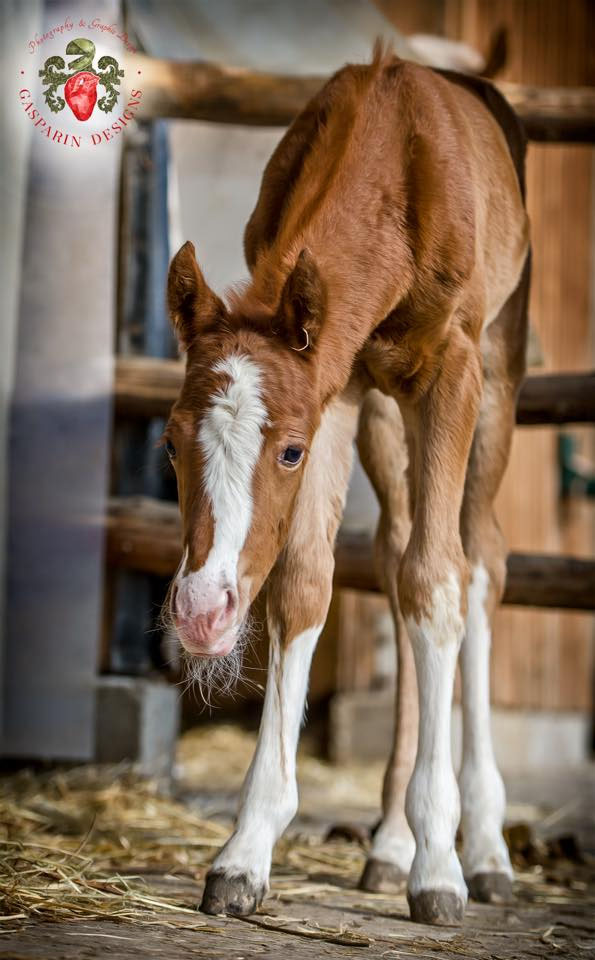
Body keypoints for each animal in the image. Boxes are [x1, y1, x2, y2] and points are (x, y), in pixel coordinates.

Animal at [164, 47, 530, 926]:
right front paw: (244, 855)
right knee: (395, 557)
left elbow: (439, 581)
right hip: (386, 419)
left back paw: (483, 849)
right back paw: (389, 844)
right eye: (167, 442)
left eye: (287, 453)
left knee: (475, 561)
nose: (200, 614)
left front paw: (442, 871)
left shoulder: (450, 373)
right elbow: (305, 585)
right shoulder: (337, 383)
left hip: (497, 376)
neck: (393, 160)